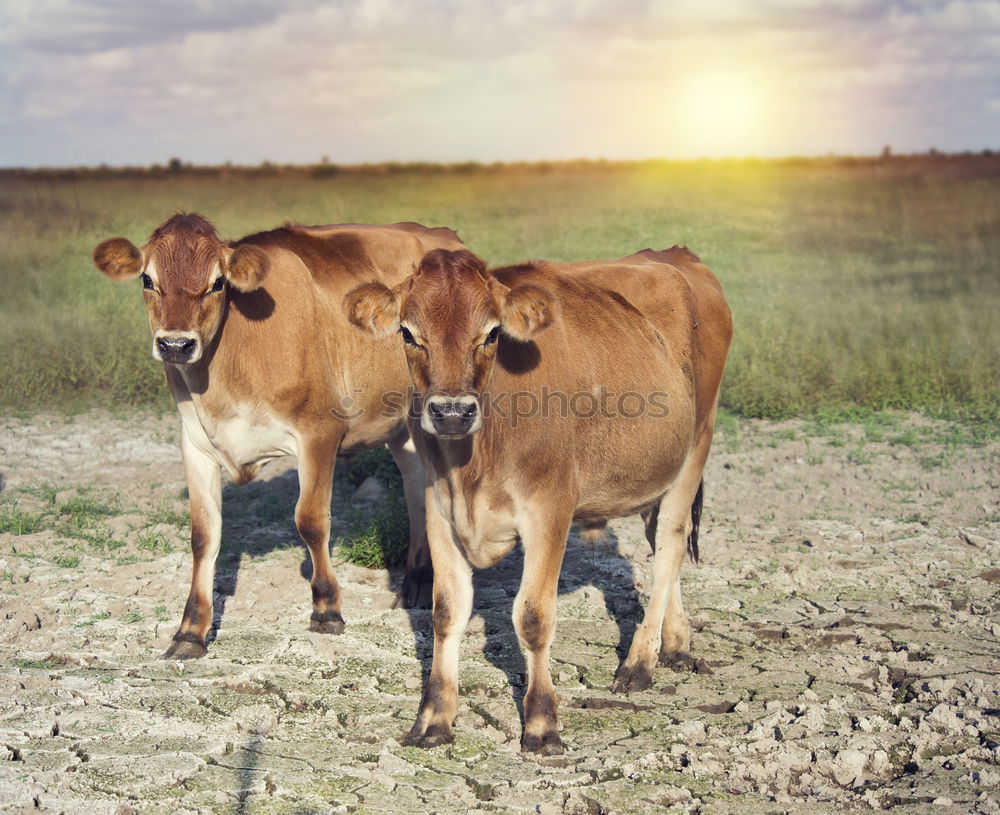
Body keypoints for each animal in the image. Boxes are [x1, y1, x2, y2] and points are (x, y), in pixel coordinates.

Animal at [93, 214, 460, 660]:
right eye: (147, 279)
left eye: (218, 283)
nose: (175, 344)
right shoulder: (194, 444)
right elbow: (203, 536)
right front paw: (190, 632)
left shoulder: (318, 431)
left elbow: (311, 522)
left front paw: (326, 609)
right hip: (401, 426)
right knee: (416, 486)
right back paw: (416, 583)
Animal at [348, 247, 732, 752]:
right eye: (408, 333)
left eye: (492, 332)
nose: (451, 412)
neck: (474, 461)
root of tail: (673, 255)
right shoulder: (439, 507)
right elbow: (447, 611)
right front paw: (433, 719)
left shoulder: (550, 508)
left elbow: (532, 616)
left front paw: (541, 722)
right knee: (660, 541)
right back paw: (676, 642)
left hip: (697, 442)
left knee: (670, 543)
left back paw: (638, 662)